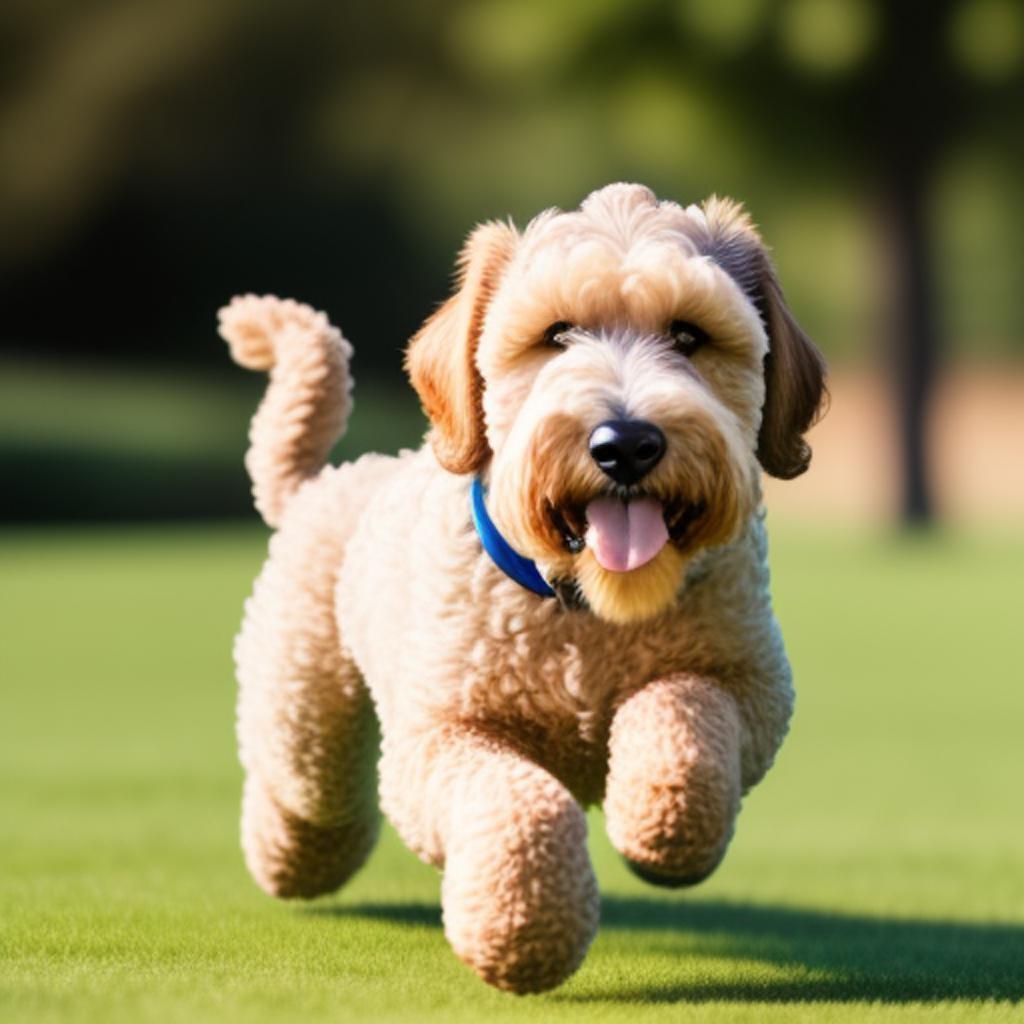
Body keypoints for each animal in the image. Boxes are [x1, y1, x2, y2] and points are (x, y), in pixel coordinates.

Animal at [220, 182, 827, 991]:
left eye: (689, 334)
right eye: (556, 333)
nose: (625, 445)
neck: (586, 608)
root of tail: (323, 482)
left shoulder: (752, 684)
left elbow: (684, 718)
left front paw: (660, 823)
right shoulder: (439, 735)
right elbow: (521, 805)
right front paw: (522, 929)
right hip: (302, 714)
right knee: (309, 796)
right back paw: (287, 858)